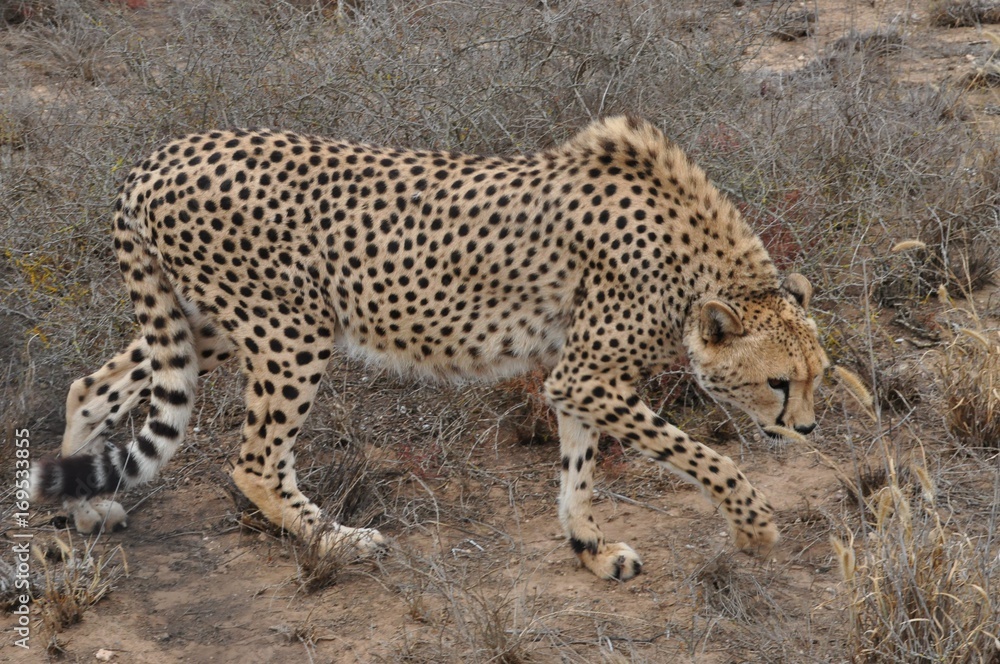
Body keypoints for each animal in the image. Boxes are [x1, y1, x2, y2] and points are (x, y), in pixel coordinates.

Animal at [31, 116, 828, 580]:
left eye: (819, 376)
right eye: (778, 383)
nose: (808, 427)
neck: (699, 257)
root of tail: (158, 157)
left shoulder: (575, 378)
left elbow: (578, 469)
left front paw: (591, 549)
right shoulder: (589, 374)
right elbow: (706, 457)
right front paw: (755, 528)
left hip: (212, 325)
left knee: (94, 385)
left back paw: (81, 511)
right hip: (292, 330)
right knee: (255, 461)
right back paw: (339, 542)